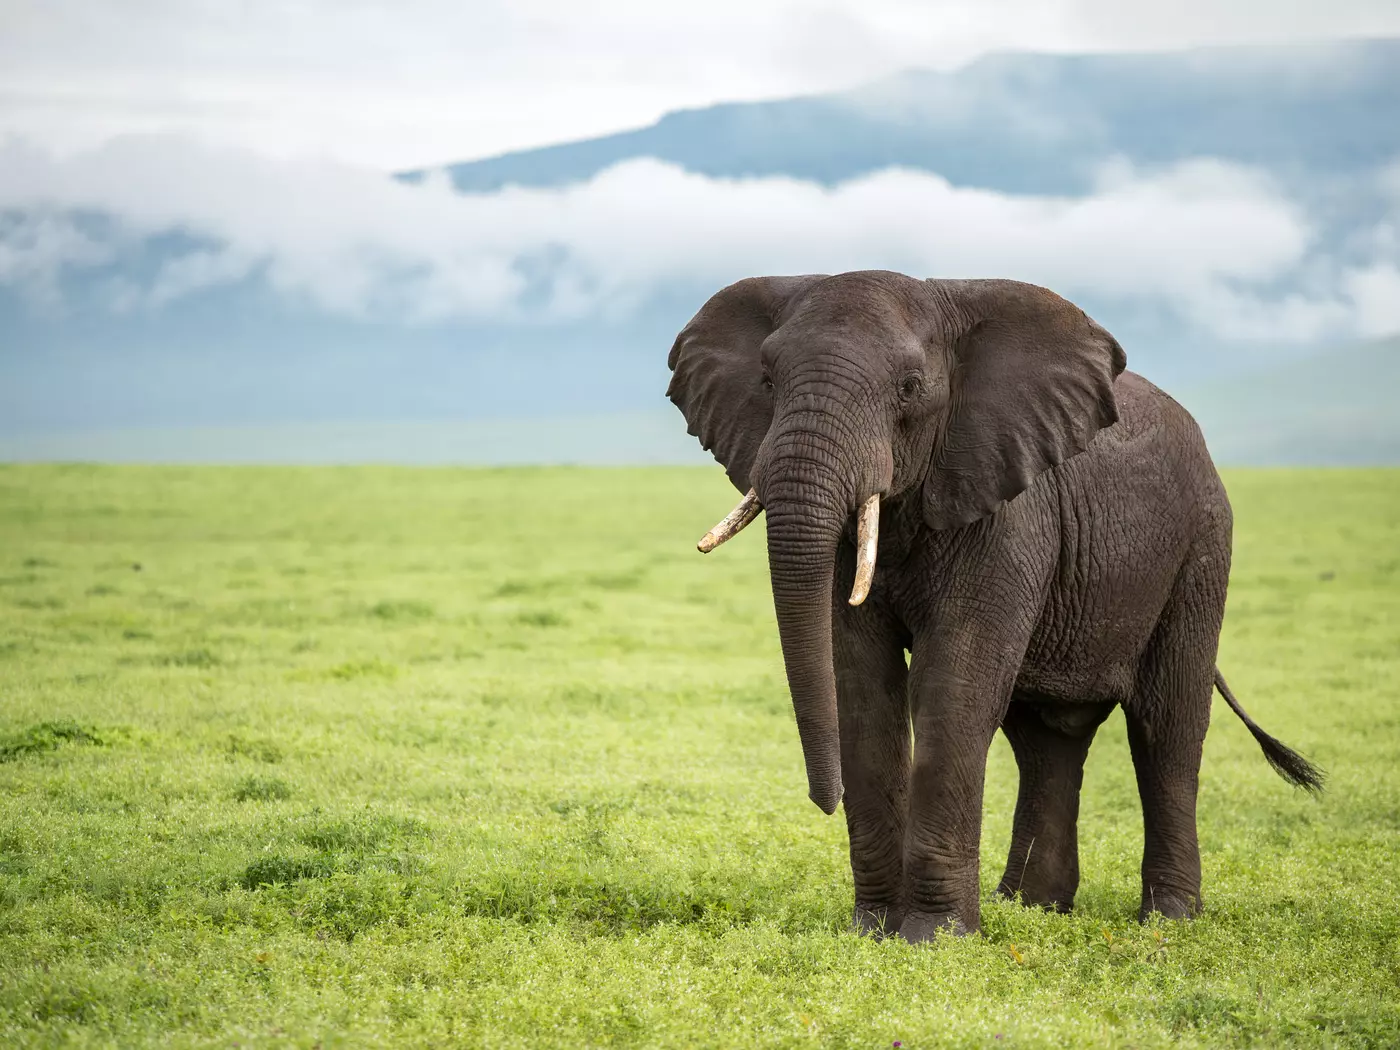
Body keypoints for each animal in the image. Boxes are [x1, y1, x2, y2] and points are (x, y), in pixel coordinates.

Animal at [666, 270, 1323, 942]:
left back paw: (1167, 922)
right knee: (1046, 738)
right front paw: (872, 932)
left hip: (1200, 546)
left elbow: (953, 687)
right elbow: (862, 684)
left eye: (910, 388)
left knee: (1166, 728)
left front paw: (933, 939)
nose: (823, 801)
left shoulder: (1008, 509)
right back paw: (1032, 909)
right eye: (768, 381)